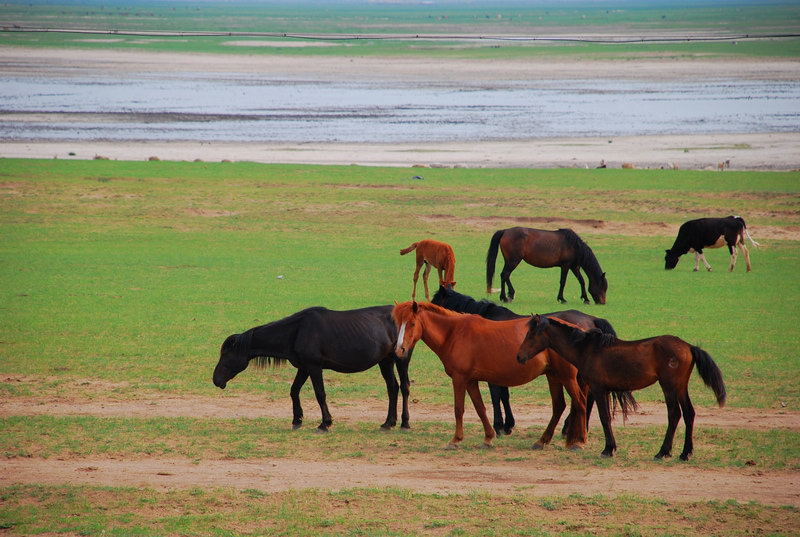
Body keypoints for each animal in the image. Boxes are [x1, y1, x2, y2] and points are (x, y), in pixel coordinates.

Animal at [212, 306, 412, 432]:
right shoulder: (304, 368)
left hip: (401, 359)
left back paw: (404, 422)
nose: (216, 379)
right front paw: (297, 419)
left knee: (404, 387)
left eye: (226, 355)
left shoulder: (314, 367)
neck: (297, 331)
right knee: (392, 388)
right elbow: (294, 390)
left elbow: (320, 394)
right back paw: (388, 423)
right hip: (385, 361)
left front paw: (325, 423)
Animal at [394, 302, 588, 448]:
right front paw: (488, 437)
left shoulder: (459, 379)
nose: (399, 350)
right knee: (559, 406)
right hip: (553, 376)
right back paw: (543, 441)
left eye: (411, 323)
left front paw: (455, 440)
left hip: (566, 377)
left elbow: (458, 409)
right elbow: (480, 408)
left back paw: (580, 441)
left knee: (580, 403)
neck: (454, 334)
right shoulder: (471, 381)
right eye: (398, 323)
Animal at [432, 284, 620, 436]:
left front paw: (499, 425)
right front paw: (508, 424)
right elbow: (504, 395)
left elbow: (496, 395)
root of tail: (592, 319)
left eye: (434, 302)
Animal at [516, 314, 728, 460]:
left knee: (674, 414)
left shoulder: (599, 389)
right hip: (681, 387)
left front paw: (608, 449)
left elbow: (604, 418)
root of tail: (689, 346)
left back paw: (663, 452)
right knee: (689, 413)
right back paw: (685, 453)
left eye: (531, 335)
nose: (519, 357)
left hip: (669, 386)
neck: (587, 349)